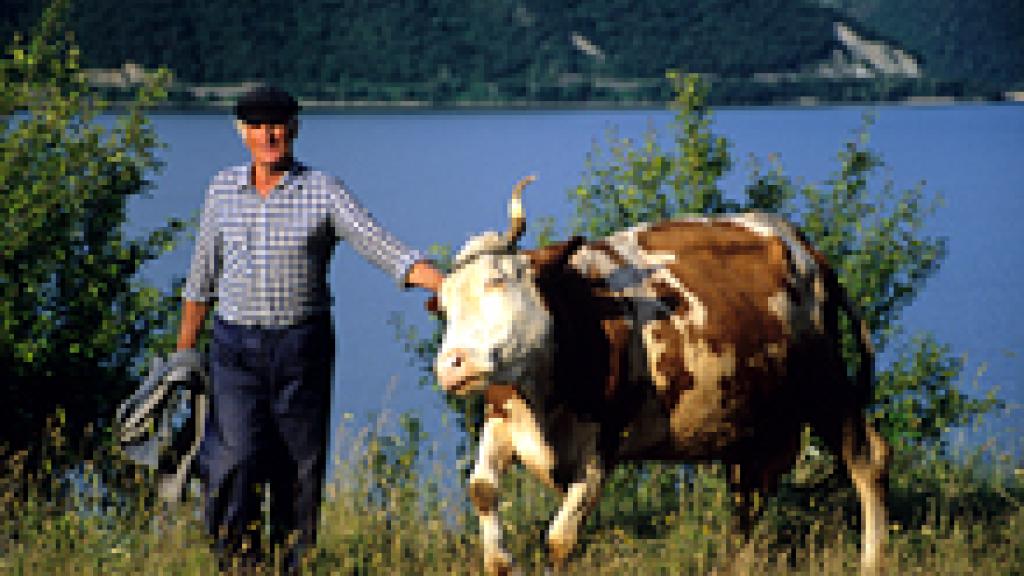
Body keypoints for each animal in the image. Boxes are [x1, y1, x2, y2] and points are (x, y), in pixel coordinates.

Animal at [432, 176, 888, 573]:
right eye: (443, 305)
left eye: (498, 281)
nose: (451, 364)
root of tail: (799, 242)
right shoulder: (501, 416)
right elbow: (482, 490)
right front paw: (502, 560)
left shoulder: (603, 443)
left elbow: (561, 538)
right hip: (755, 416)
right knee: (751, 492)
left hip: (824, 380)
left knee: (868, 458)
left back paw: (872, 561)